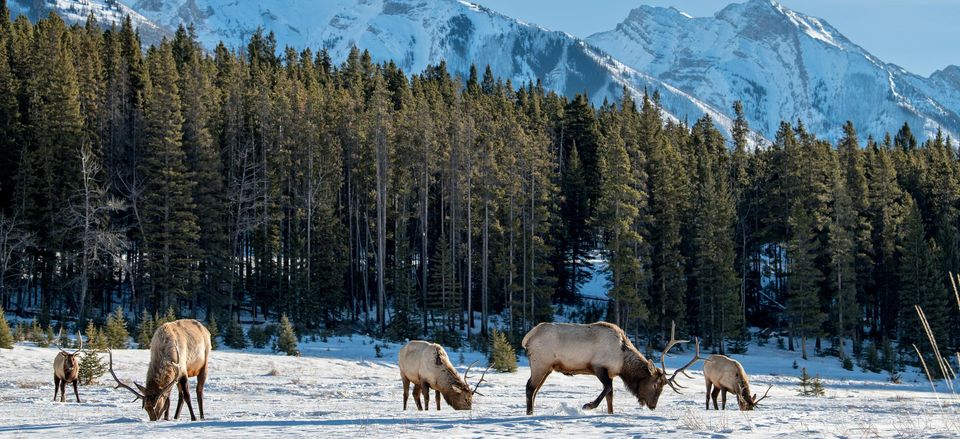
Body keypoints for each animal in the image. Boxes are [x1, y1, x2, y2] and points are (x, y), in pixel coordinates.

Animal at [520, 322, 700, 414]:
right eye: (655, 384)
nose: (653, 406)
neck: (622, 361)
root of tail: (527, 338)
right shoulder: (599, 367)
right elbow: (607, 388)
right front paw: (588, 405)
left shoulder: (611, 373)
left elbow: (610, 396)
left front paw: (610, 412)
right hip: (540, 363)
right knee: (530, 387)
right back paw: (530, 413)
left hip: (547, 368)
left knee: (535, 389)